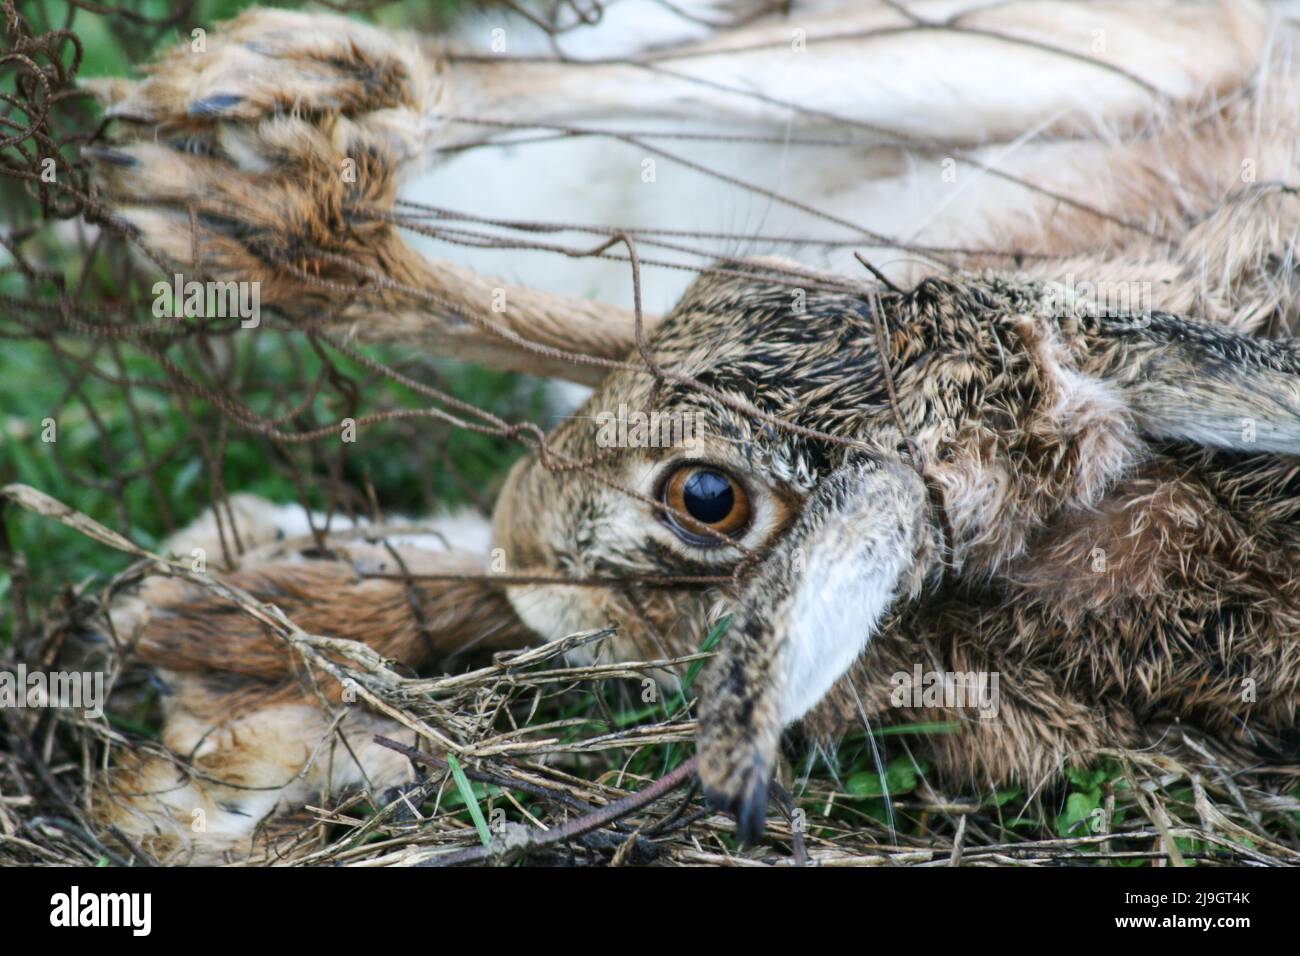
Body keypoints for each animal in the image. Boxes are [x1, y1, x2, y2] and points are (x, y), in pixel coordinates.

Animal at [77, 0, 1300, 859]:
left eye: (707, 500)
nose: (519, 529)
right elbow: (580, 332)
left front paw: (206, 623)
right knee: (568, 86)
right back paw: (251, 129)